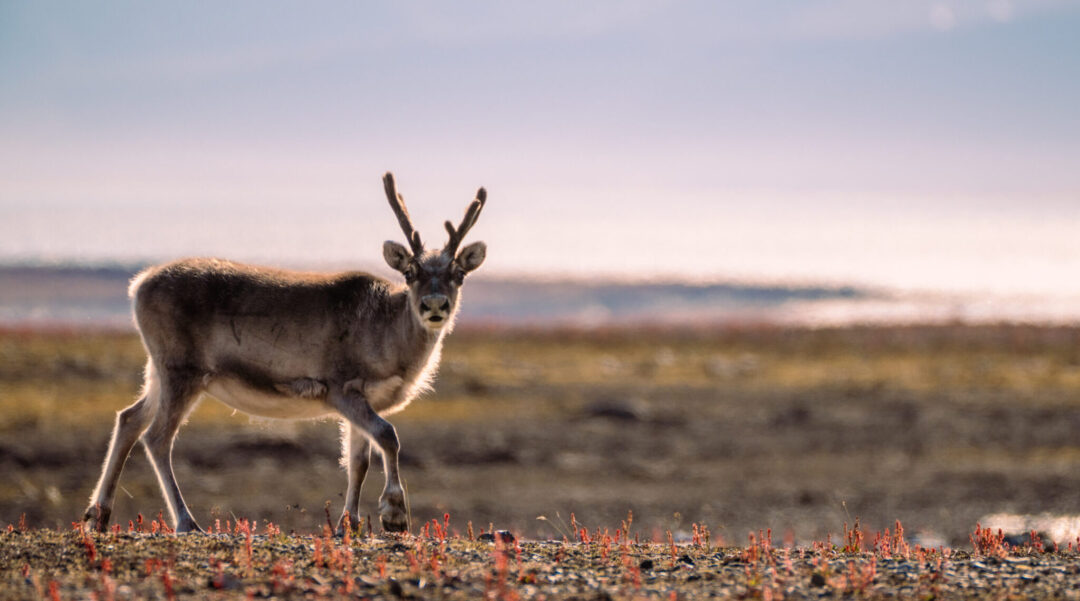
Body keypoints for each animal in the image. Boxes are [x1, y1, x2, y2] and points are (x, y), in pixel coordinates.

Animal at [82, 172, 487, 534]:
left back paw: (98, 515)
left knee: (129, 418)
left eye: (458, 274)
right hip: (182, 370)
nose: (434, 305)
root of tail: (138, 285)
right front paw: (394, 514)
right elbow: (388, 435)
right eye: (410, 272)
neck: (391, 338)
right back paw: (186, 522)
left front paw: (350, 524)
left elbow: (358, 459)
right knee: (157, 437)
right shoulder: (341, 387)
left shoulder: (365, 398)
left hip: (158, 369)